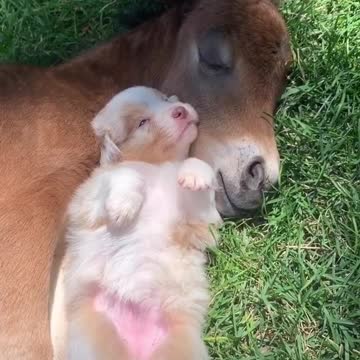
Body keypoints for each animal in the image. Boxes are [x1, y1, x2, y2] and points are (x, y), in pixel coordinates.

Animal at [64, 86, 222, 358]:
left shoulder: (200, 222)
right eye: (142, 122)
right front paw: (123, 206)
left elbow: (195, 168)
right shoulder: (88, 202)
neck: (156, 165)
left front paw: (195, 174)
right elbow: (126, 173)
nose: (180, 110)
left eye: (166, 98)